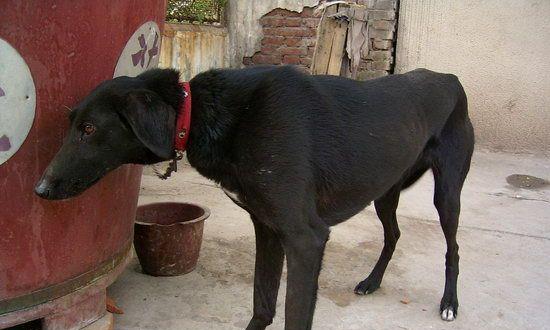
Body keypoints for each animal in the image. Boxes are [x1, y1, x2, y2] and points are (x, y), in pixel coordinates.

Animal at [35, 65, 474, 328]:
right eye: (73, 124)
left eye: (89, 129)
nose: (40, 189)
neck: (209, 113)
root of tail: (449, 77)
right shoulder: (267, 228)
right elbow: (263, 303)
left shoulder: (304, 238)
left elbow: (294, 313)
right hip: (385, 190)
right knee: (393, 235)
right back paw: (371, 281)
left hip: (447, 194)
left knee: (453, 249)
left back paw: (449, 302)